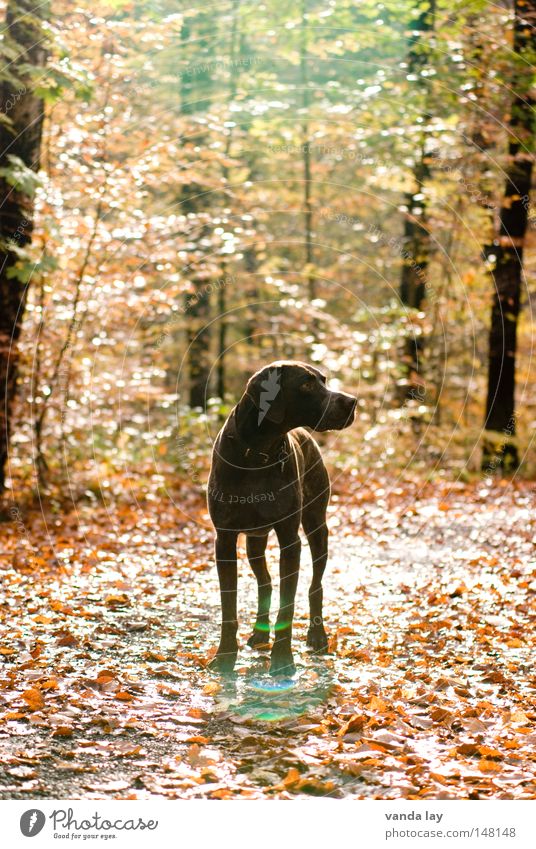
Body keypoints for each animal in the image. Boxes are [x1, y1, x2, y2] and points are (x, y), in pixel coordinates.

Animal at [208, 360, 356, 676]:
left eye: (324, 380)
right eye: (307, 383)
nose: (352, 402)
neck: (258, 452)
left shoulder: (290, 539)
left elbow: (288, 605)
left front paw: (282, 659)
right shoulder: (224, 539)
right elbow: (229, 604)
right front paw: (225, 656)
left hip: (317, 528)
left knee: (315, 586)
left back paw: (317, 635)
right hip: (254, 541)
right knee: (264, 582)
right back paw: (260, 631)